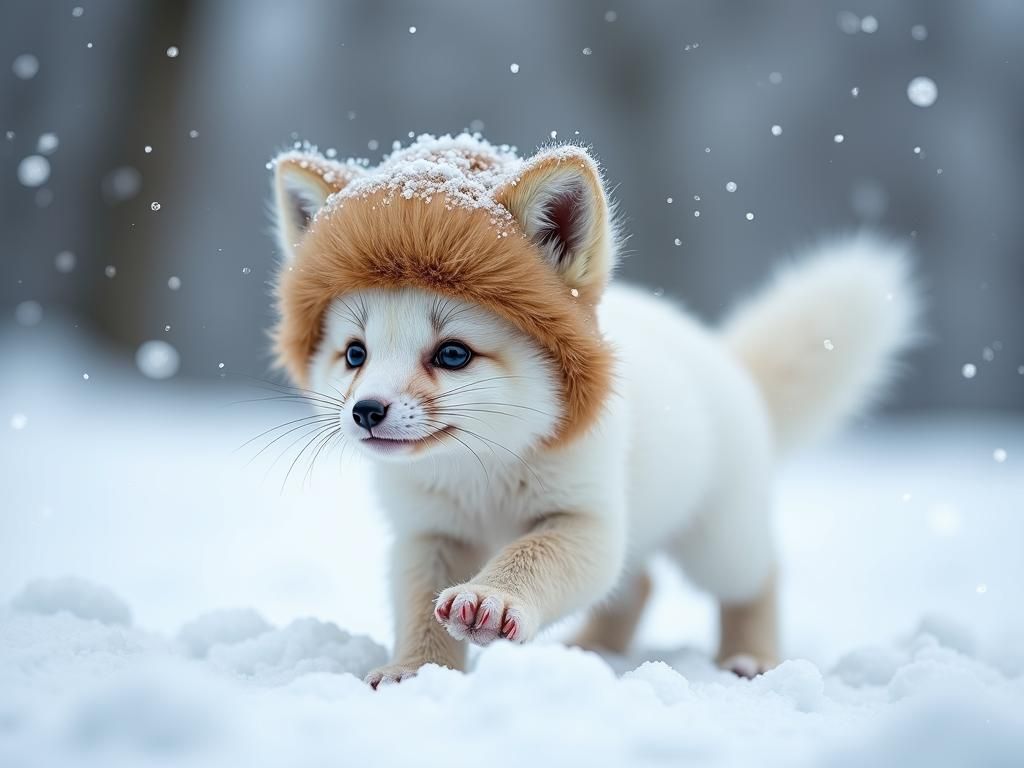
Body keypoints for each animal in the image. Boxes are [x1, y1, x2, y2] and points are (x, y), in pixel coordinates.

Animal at [268, 133, 919, 687]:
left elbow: (528, 558)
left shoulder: (585, 519)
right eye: (355, 353)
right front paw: (416, 672)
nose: (366, 411)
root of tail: (721, 356)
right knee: (641, 585)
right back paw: (592, 650)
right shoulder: (429, 532)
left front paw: (491, 600)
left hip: (719, 542)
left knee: (758, 577)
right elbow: (420, 609)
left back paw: (750, 658)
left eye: (452, 353)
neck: (486, 473)